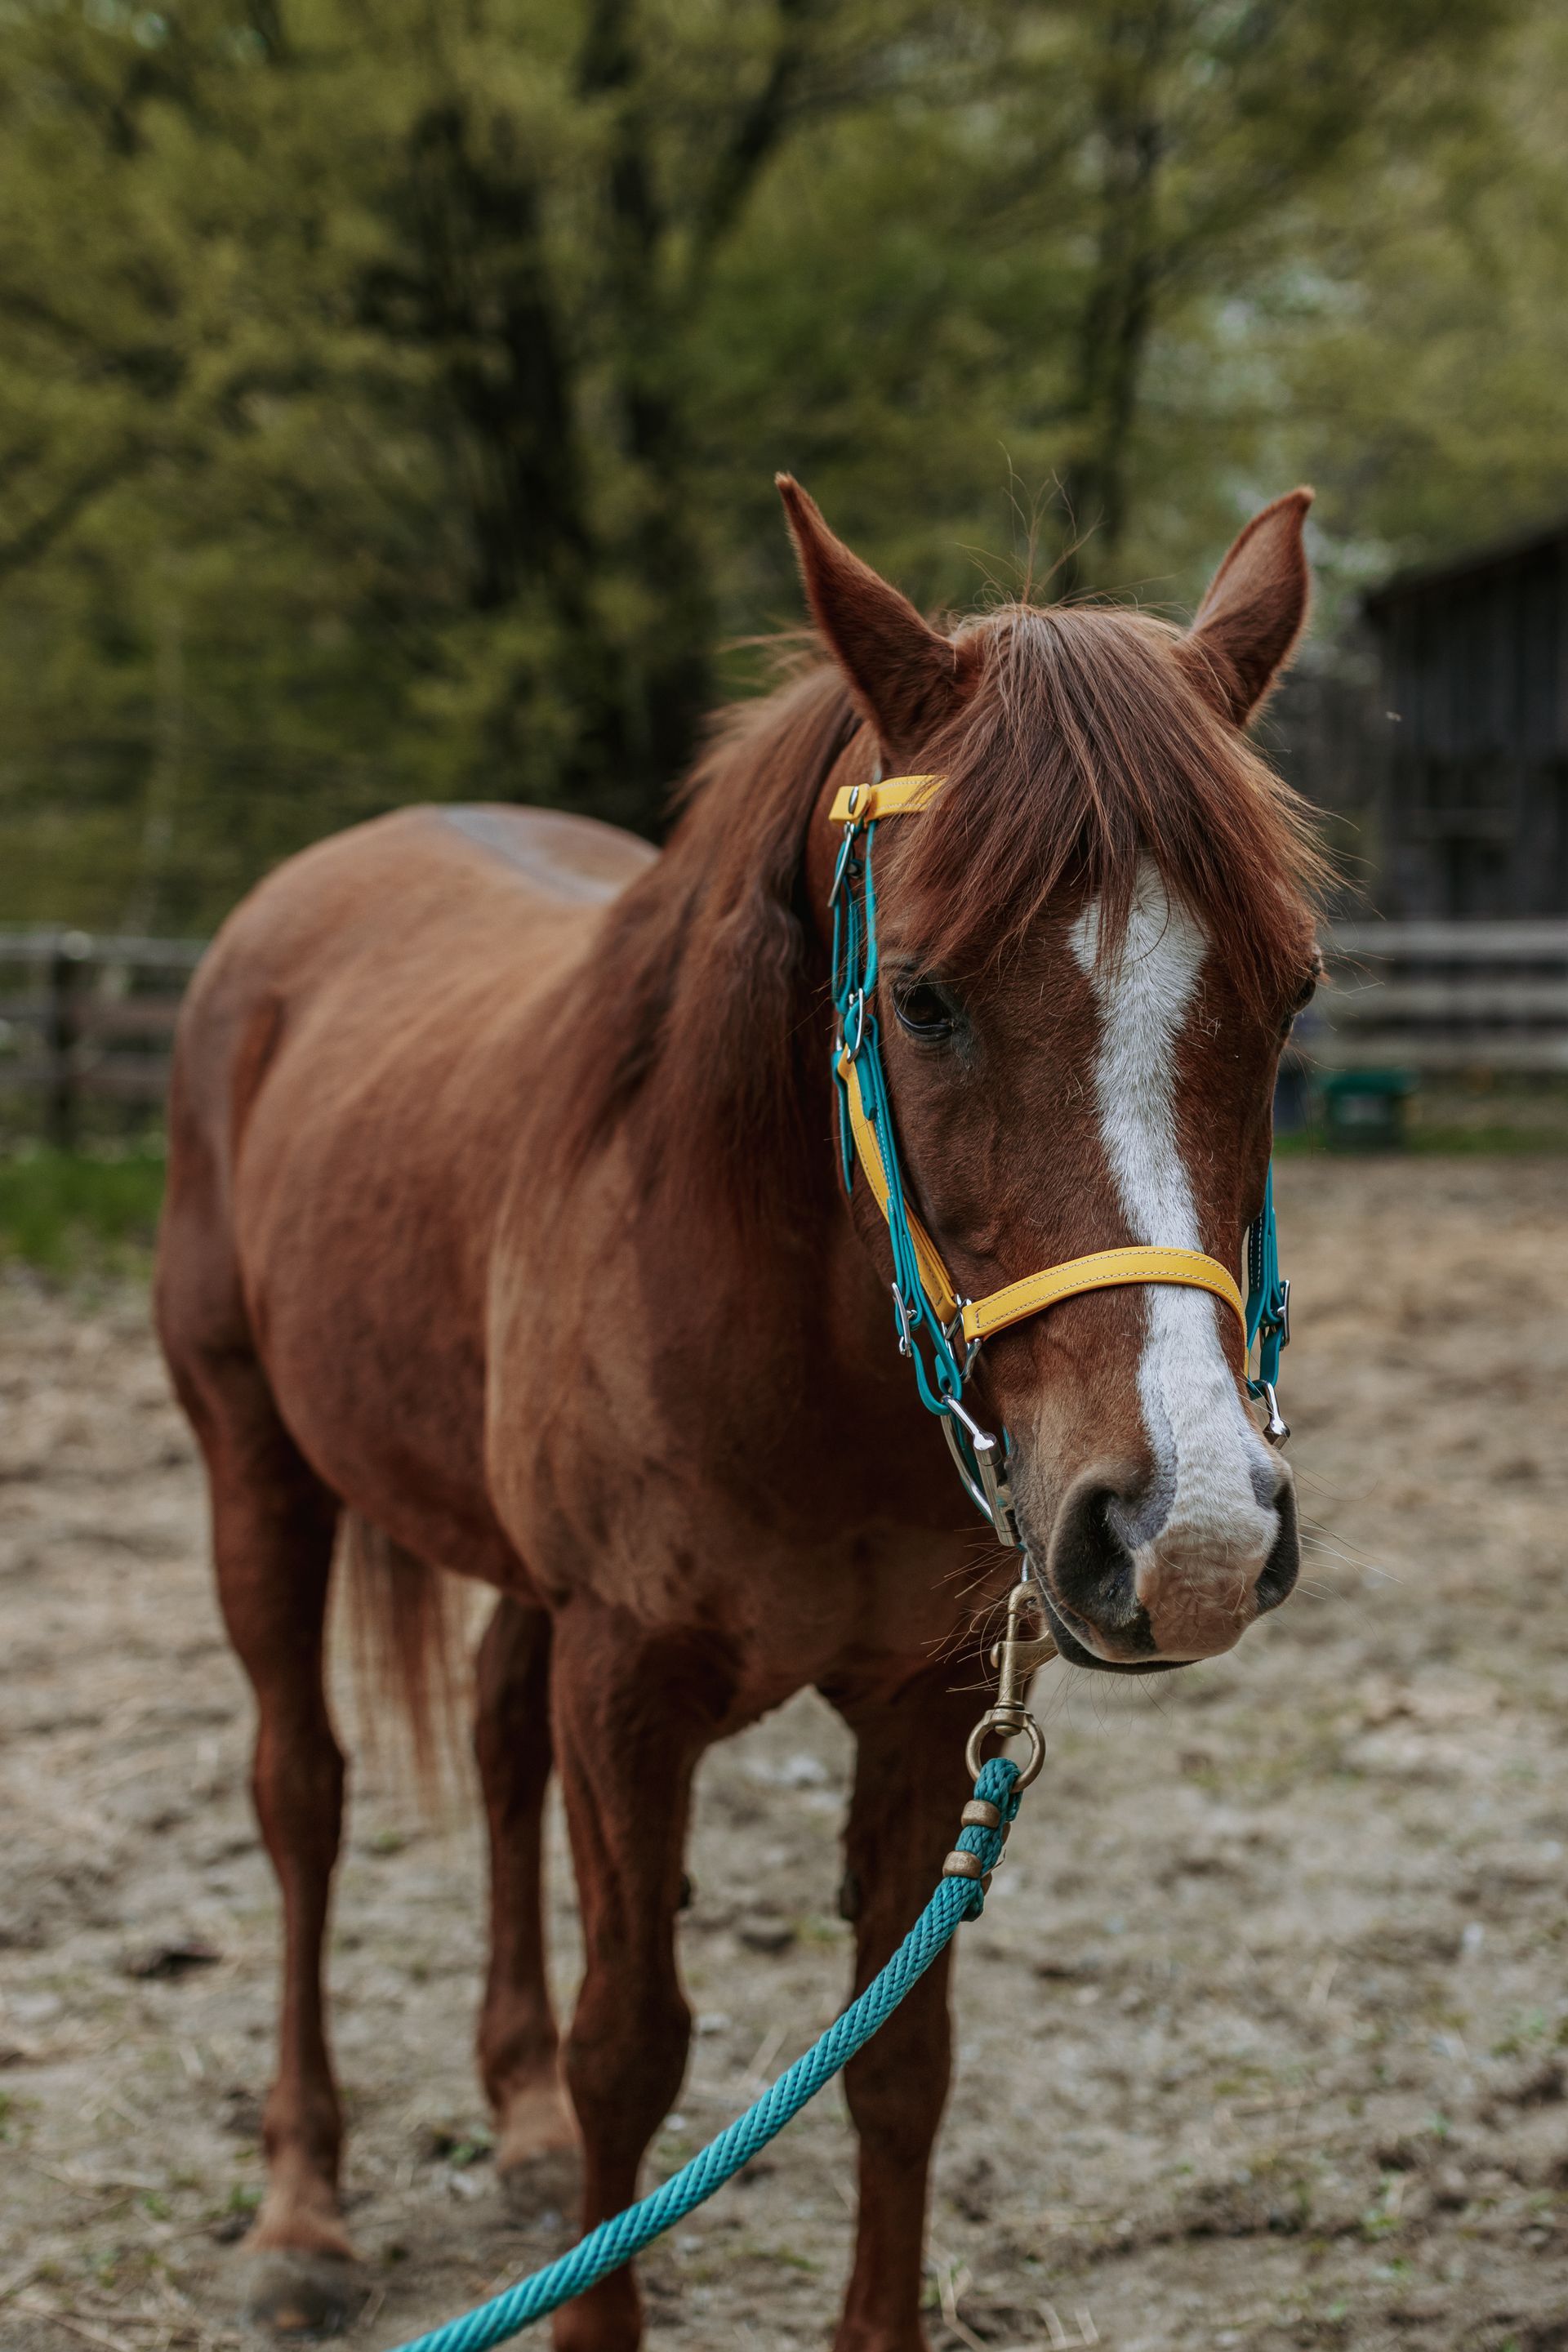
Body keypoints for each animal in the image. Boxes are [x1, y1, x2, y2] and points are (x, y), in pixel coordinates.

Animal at [154, 475, 1324, 2351]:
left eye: (1293, 992)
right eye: (920, 993)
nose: (1193, 1533)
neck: (805, 1352)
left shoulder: (928, 1703)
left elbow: (901, 2061)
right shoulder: (628, 1685)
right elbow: (631, 2055)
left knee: (492, 1748)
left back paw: (511, 2130)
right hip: (255, 1465)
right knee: (303, 1799)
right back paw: (299, 2215)